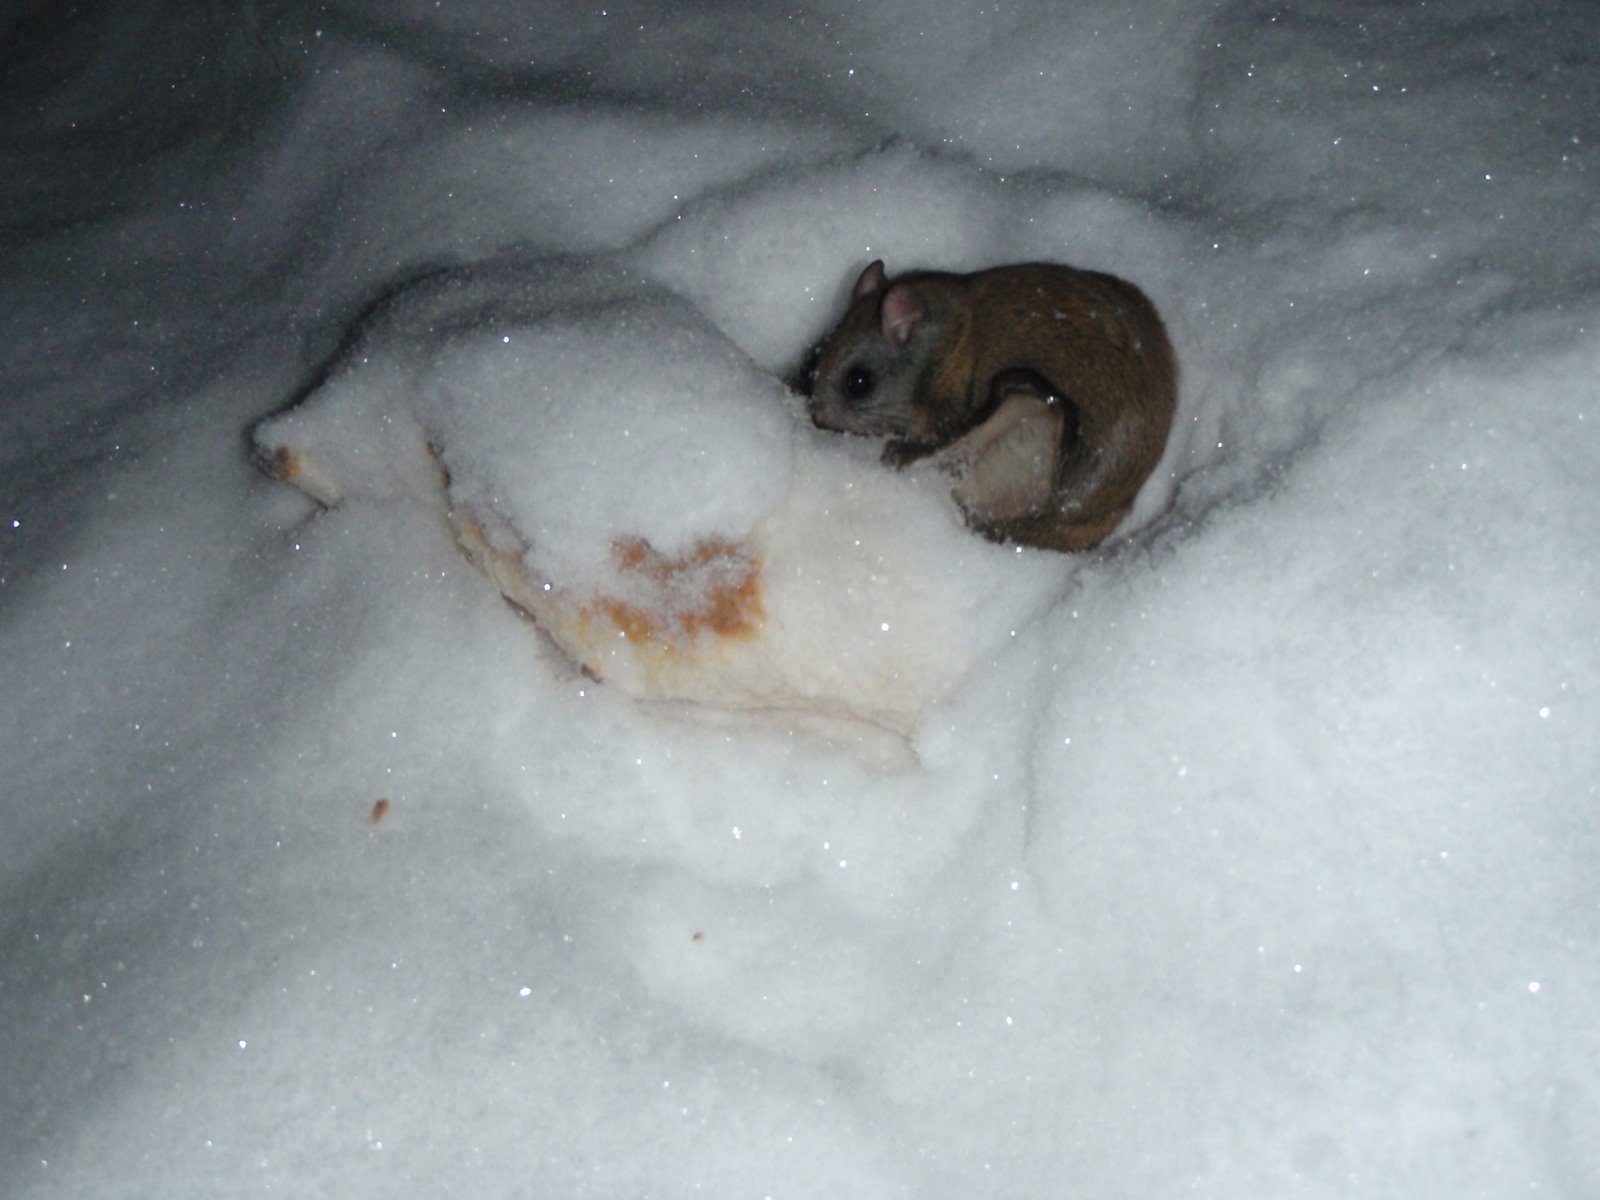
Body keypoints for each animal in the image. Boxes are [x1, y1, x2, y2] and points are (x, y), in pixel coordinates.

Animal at [804, 260, 1177, 552]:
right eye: (818, 354)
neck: (945, 345)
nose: (818, 416)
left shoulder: (951, 407)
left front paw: (899, 452)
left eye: (858, 382)